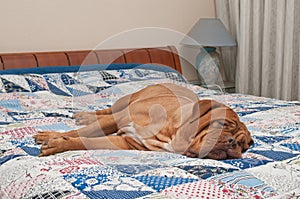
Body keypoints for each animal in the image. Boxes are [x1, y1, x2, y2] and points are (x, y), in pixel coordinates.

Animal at [33, 83, 253, 160]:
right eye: (221, 125)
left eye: (243, 145)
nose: (232, 142)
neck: (171, 134)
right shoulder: (119, 119)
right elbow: (78, 133)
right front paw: (51, 136)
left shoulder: (124, 142)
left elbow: (83, 140)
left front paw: (57, 144)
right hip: (124, 102)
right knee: (106, 111)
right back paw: (85, 116)